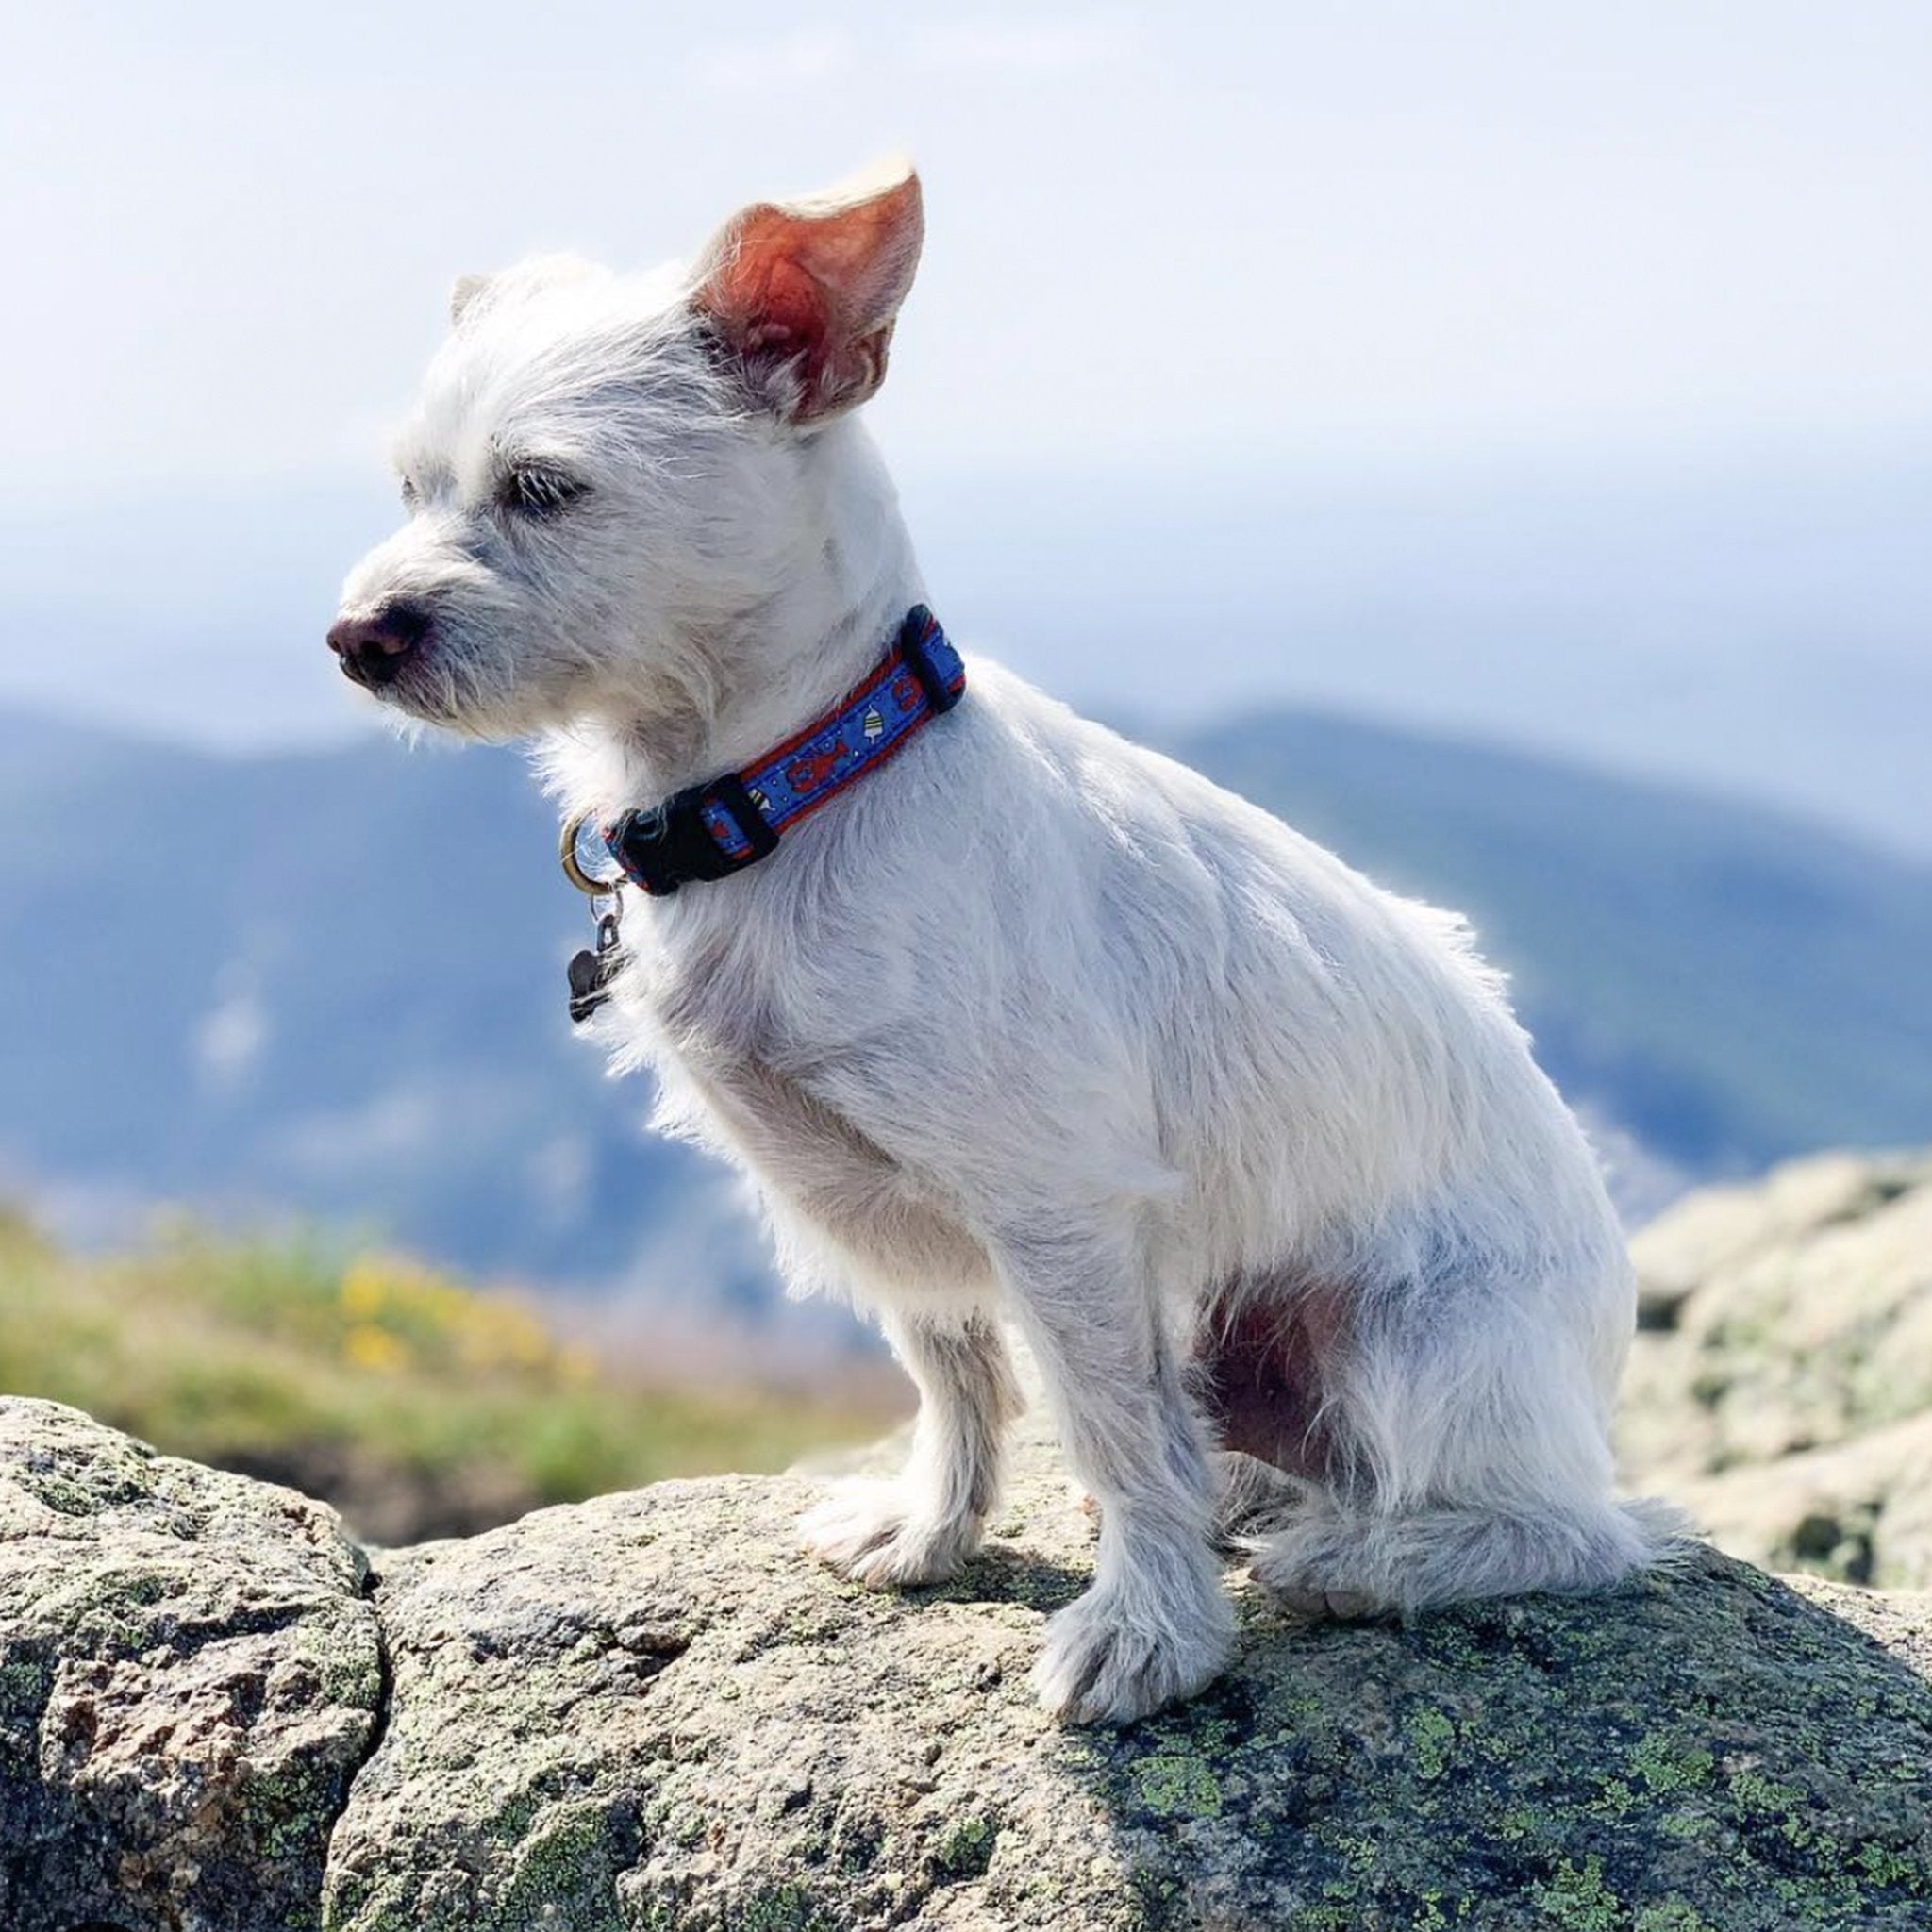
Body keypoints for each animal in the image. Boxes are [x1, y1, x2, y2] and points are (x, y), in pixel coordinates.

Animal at [332, 154, 1676, 1723]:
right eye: (411, 484)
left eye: (543, 487)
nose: (354, 638)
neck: (794, 782)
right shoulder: (882, 1208)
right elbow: (952, 1376)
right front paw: (933, 1528)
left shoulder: (1060, 1209)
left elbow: (1105, 1418)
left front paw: (1147, 1632)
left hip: (1414, 1345)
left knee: (1574, 1530)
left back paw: (1365, 1557)